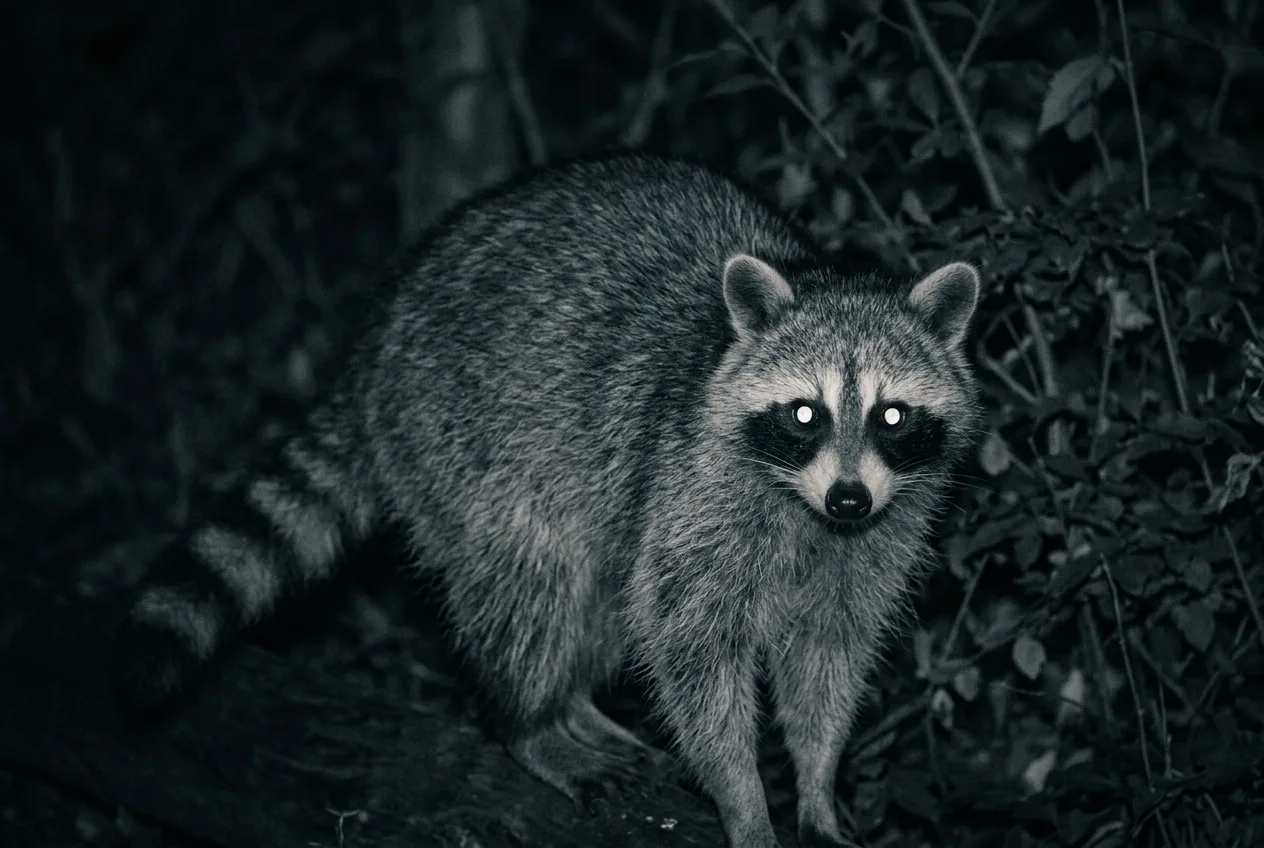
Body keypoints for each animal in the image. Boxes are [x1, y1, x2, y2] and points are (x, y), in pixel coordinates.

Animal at [115, 154, 982, 848]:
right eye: (805, 415)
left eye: (892, 417)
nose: (848, 499)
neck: (804, 507)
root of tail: (377, 339)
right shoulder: (694, 487)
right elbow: (694, 657)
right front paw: (743, 798)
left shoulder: (879, 534)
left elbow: (829, 655)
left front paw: (816, 784)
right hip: (464, 444)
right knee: (534, 587)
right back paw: (529, 720)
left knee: (602, 598)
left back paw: (571, 704)